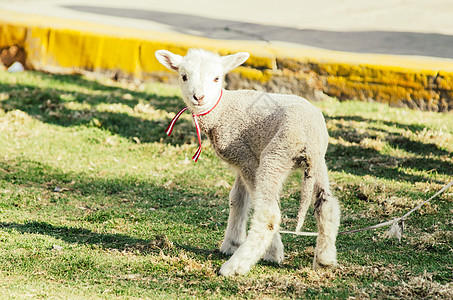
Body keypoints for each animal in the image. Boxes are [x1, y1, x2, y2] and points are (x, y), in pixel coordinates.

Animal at [155, 48, 340, 276]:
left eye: (217, 78)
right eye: (183, 76)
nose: (199, 97)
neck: (222, 110)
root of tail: (310, 136)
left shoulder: (248, 160)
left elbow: (249, 202)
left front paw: (272, 252)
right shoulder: (241, 158)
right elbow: (237, 199)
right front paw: (231, 243)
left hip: (277, 154)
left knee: (269, 215)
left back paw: (235, 266)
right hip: (318, 162)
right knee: (326, 205)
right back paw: (324, 260)